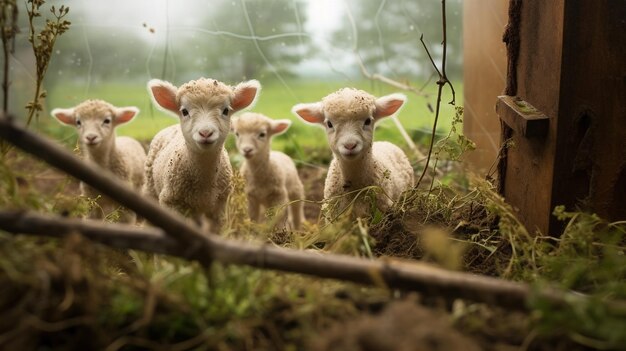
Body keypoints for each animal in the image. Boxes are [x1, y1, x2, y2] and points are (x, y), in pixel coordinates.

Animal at [145, 77, 260, 232]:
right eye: (184, 111)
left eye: (225, 111)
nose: (205, 133)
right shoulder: (170, 201)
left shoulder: (219, 206)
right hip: (150, 187)